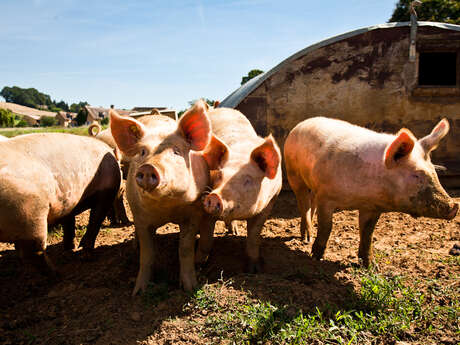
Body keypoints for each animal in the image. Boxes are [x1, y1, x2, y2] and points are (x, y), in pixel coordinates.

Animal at [0, 132, 121, 274]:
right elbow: (94, 222)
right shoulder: (106, 193)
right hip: (30, 214)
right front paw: (84, 255)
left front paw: (70, 249)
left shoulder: (68, 204)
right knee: (34, 252)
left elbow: (69, 222)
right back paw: (57, 273)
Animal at [109, 99, 216, 292]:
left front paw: (190, 288)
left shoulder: (193, 214)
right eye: (143, 152)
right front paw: (138, 292)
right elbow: (147, 254)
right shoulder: (140, 218)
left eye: (176, 151)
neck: (167, 207)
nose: (148, 167)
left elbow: (185, 250)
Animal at [199, 107, 284, 272]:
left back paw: (234, 232)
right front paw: (199, 266)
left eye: (247, 180)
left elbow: (253, 236)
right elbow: (206, 240)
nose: (213, 197)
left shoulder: (269, 203)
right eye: (220, 174)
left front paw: (254, 269)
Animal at [286, 116, 458, 266]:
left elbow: (368, 233)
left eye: (434, 172)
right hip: (293, 174)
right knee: (303, 204)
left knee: (311, 202)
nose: (454, 206)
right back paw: (306, 238)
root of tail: (303, 123)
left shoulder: (372, 207)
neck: (363, 196)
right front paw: (315, 257)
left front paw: (371, 266)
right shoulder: (326, 198)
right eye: (416, 175)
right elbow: (326, 227)